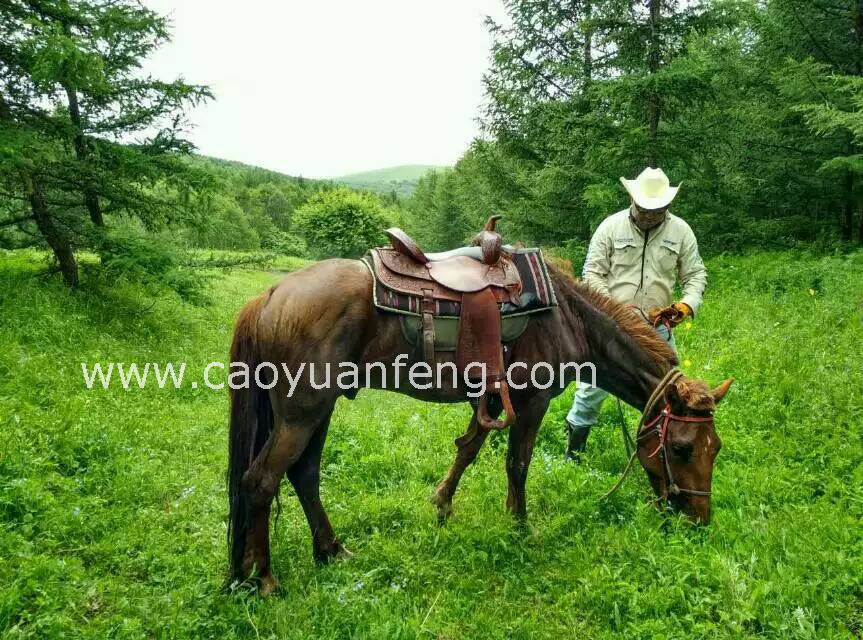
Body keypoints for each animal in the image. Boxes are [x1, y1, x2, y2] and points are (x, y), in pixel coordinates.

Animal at [226, 258, 733, 595]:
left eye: (717, 447)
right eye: (683, 448)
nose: (699, 519)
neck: (568, 316)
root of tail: (268, 297)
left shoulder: (492, 397)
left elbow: (468, 448)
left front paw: (443, 504)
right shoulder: (532, 401)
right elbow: (517, 464)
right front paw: (520, 527)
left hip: (320, 409)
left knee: (304, 475)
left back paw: (330, 551)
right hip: (301, 414)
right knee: (261, 480)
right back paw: (266, 579)